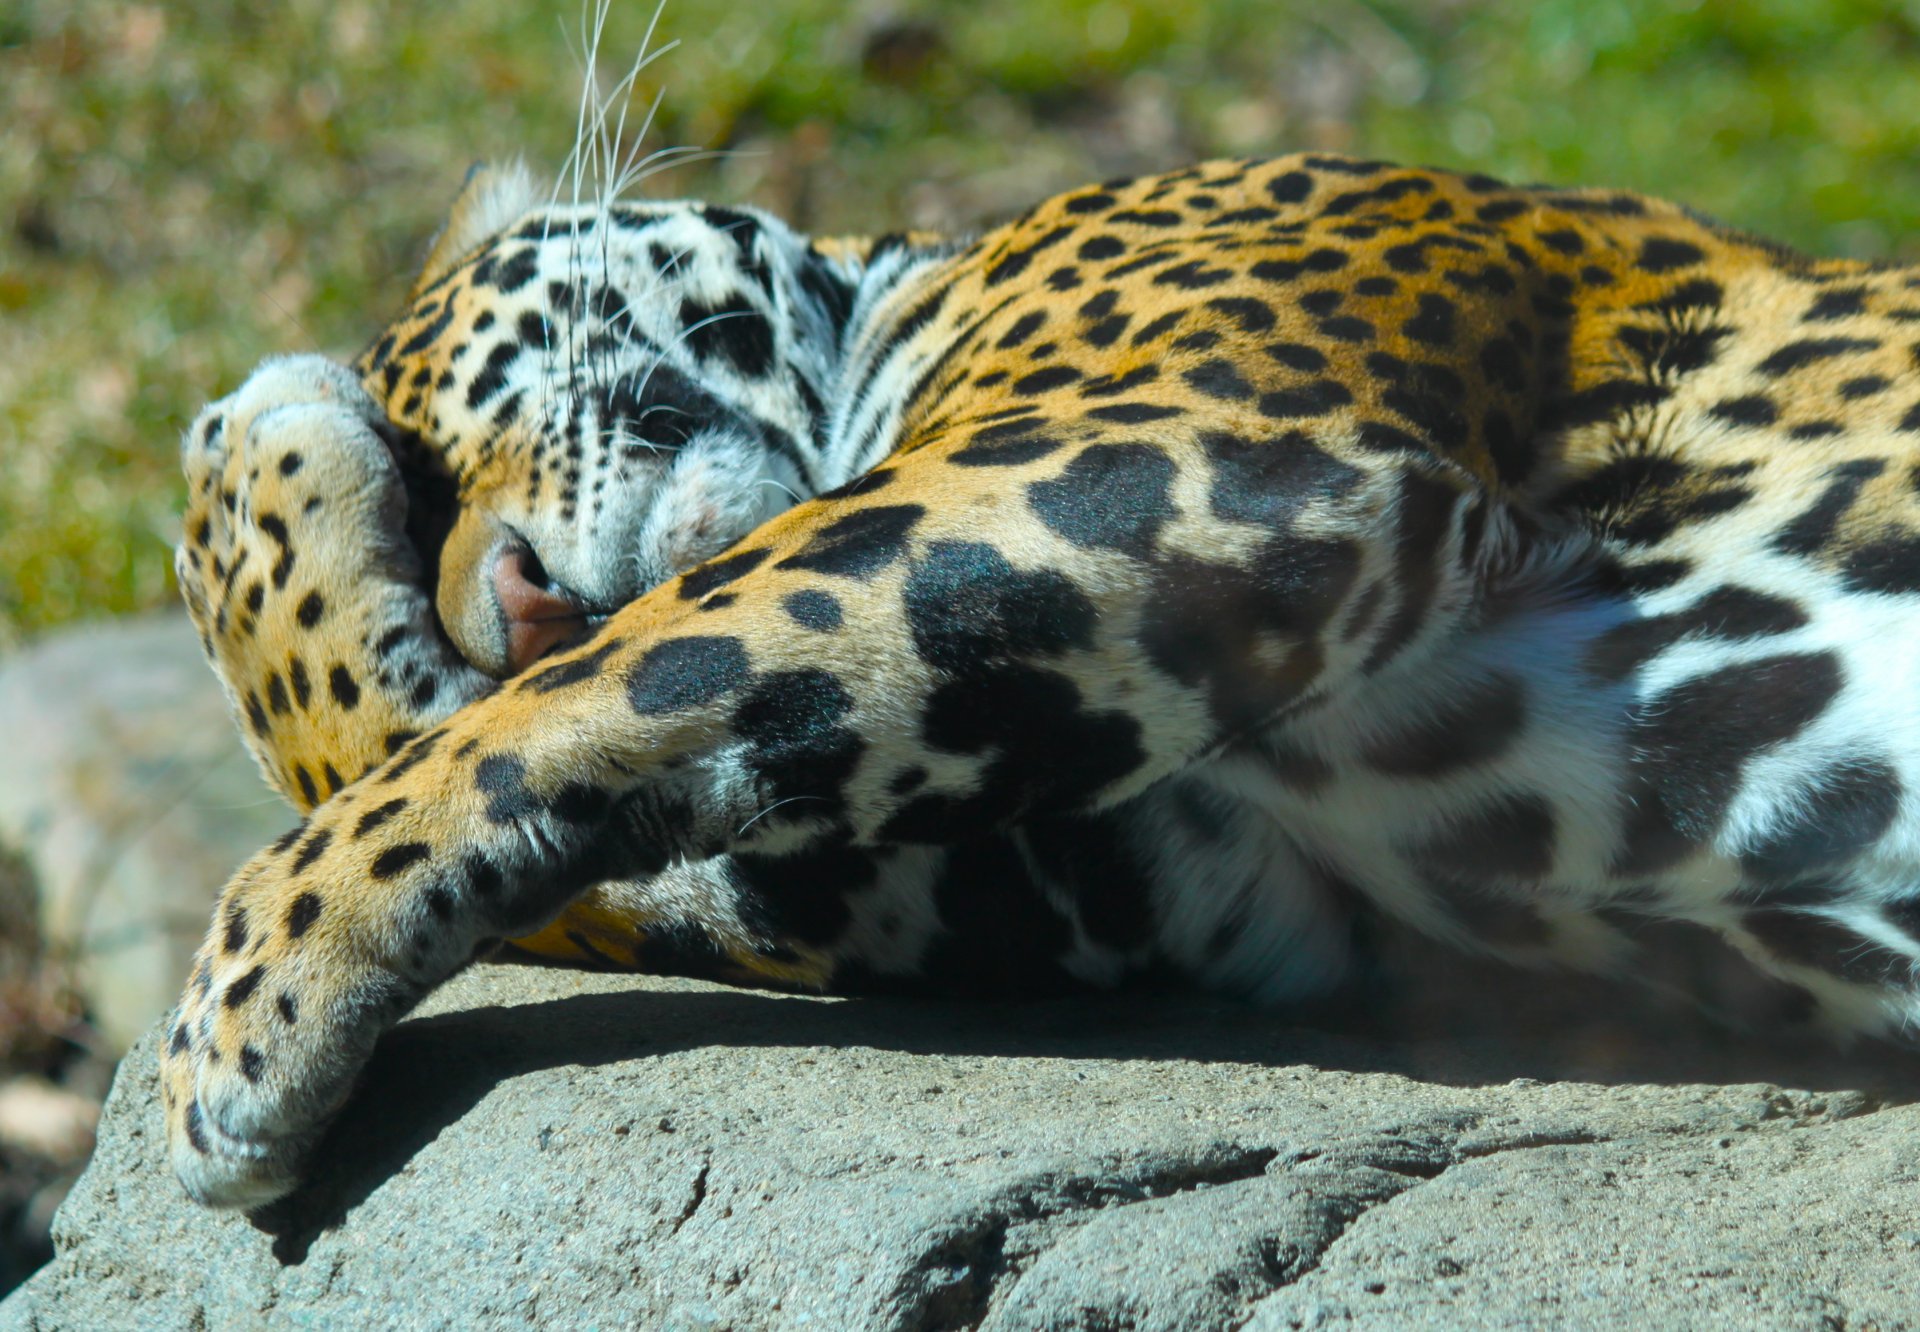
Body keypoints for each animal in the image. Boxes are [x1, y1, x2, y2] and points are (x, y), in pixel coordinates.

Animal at [160, 143, 1920, 1209]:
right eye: (426, 505)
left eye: (448, 444)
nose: (508, 606)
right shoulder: (1100, 874)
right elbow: (543, 764)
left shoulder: (1171, 455)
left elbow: (627, 669)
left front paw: (239, 1012)